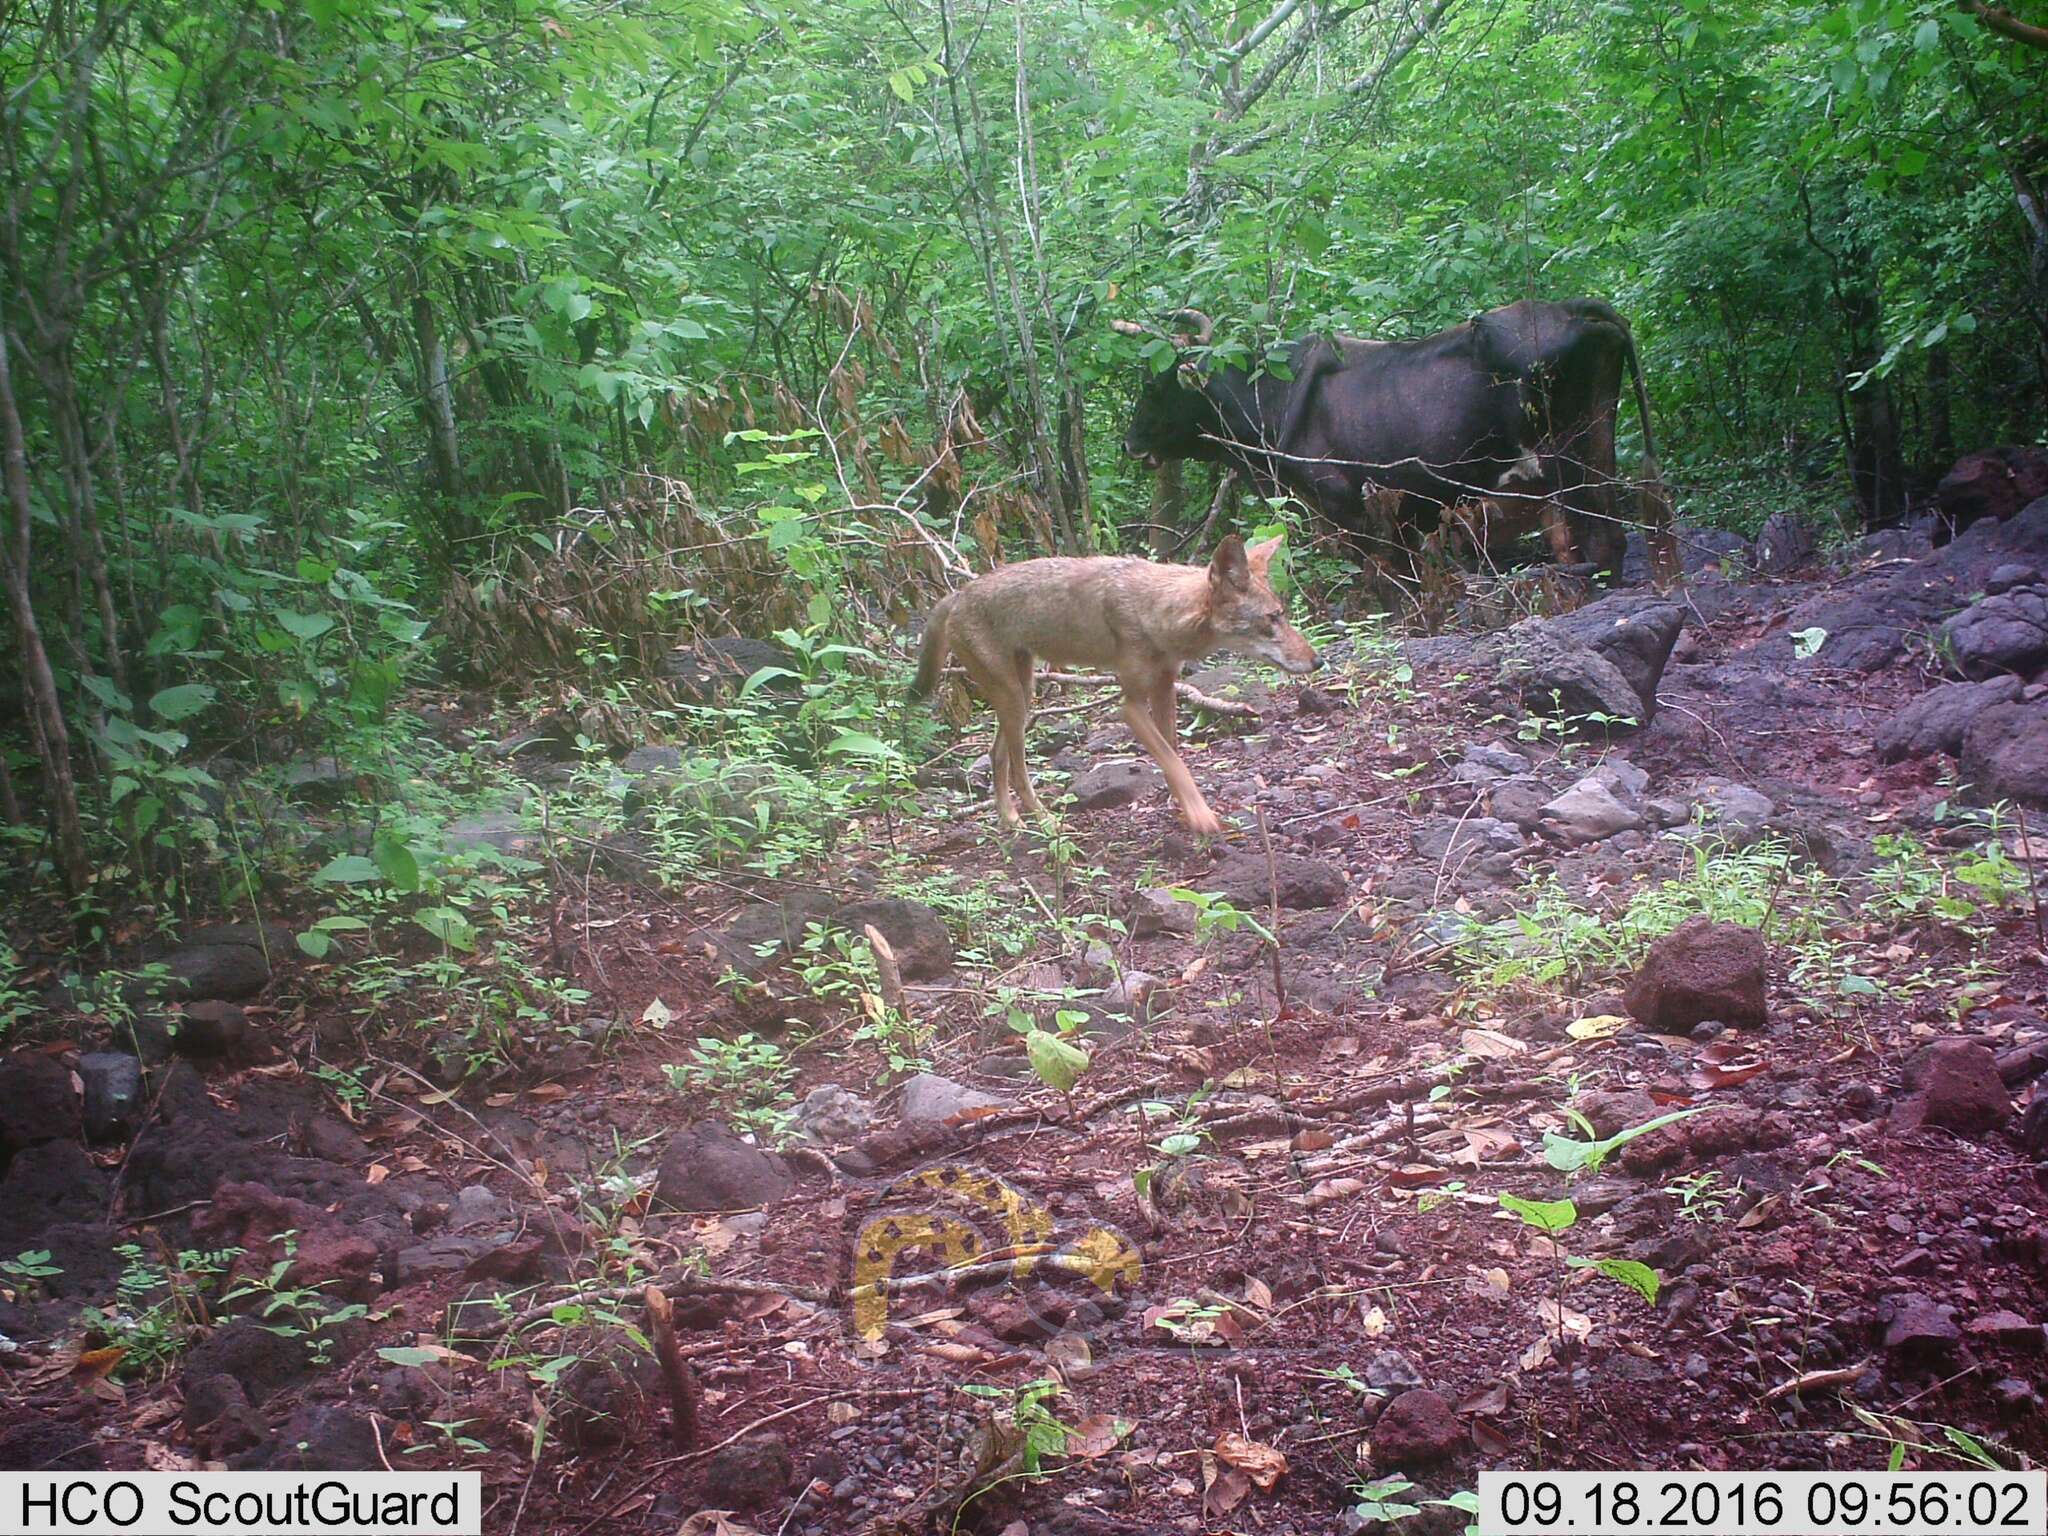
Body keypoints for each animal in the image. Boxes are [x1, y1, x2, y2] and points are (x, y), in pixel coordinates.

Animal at [1122, 299, 1679, 581]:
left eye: (1154, 384)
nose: (1129, 443)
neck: (1271, 394)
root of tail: (1578, 306)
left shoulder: (1345, 506)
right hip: (1596, 449)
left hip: (1569, 460)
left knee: (1601, 541)